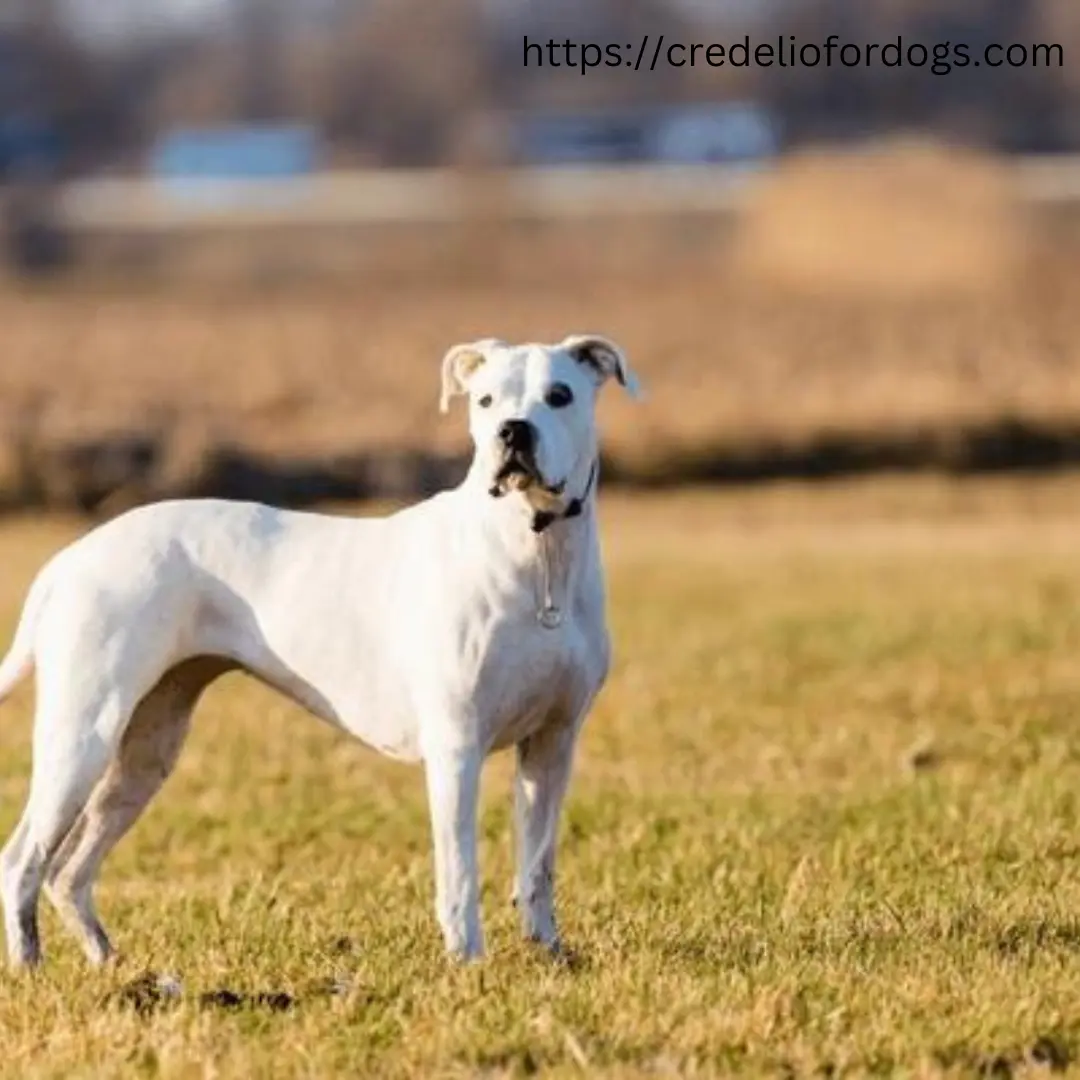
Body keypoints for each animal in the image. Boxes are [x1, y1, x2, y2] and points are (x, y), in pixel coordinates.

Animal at [0, 332, 639, 967]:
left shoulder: (552, 744)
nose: (513, 431)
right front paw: (467, 964)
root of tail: (69, 559)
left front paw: (548, 955)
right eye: (484, 400)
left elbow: (538, 865)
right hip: (83, 734)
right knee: (23, 858)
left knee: (69, 870)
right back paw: (30, 966)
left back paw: (107, 960)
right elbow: (459, 872)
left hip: (147, 748)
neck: (535, 548)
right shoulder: (457, 746)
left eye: (560, 395)